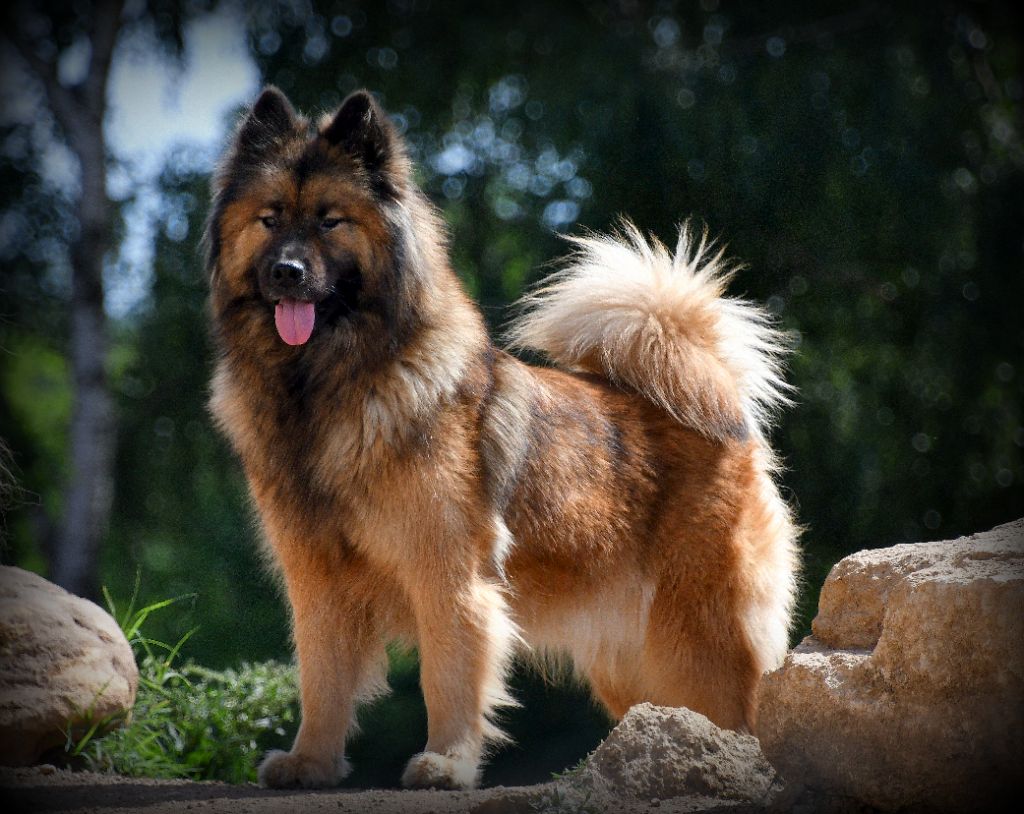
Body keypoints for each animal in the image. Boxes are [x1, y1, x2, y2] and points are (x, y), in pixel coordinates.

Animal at [204, 86, 799, 790]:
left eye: (330, 222)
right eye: (269, 220)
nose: (288, 272)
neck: (324, 385)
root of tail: (724, 411)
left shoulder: (446, 571)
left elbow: (448, 677)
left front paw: (446, 763)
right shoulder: (317, 579)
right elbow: (321, 682)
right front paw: (310, 764)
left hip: (702, 634)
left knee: (744, 715)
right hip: (631, 657)